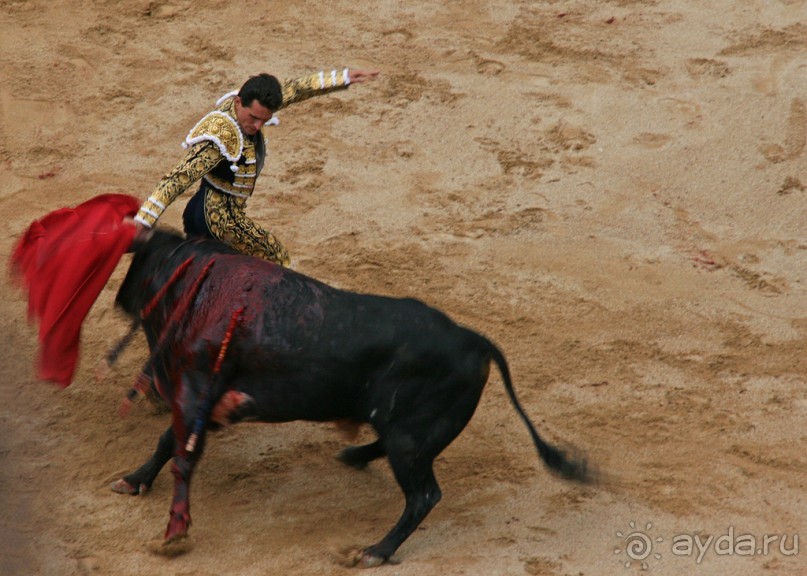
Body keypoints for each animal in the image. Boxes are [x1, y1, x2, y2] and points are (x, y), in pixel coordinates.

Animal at [110, 227, 592, 564]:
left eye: (137, 266)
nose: (120, 299)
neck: (199, 285)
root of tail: (473, 340)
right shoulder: (206, 403)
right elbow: (168, 442)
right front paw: (134, 480)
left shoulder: (197, 393)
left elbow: (179, 449)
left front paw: (169, 528)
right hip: (407, 431)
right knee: (394, 454)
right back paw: (355, 457)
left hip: (410, 436)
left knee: (423, 495)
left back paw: (375, 550)